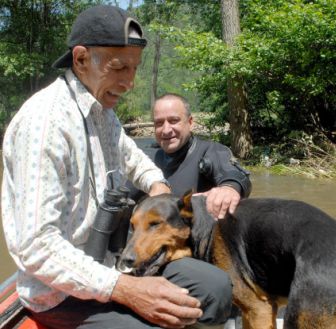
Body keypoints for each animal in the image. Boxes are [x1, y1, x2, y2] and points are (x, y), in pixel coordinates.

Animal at [119, 192, 336, 328]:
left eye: (155, 224)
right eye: (132, 225)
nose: (125, 260)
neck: (207, 227)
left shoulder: (260, 309)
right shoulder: (253, 311)